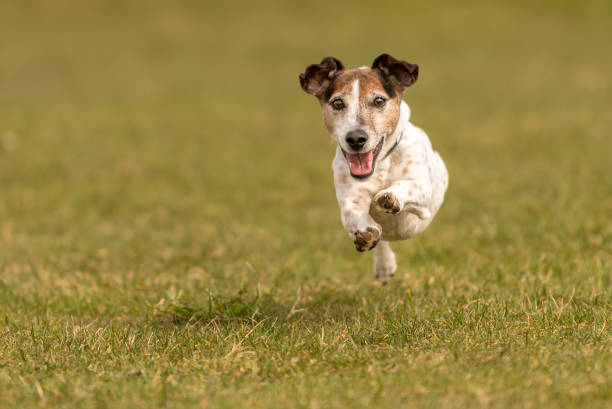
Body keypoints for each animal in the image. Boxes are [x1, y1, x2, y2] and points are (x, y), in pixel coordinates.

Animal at [298, 53, 448, 284]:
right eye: (338, 103)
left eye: (379, 101)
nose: (355, 138)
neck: (379, 166)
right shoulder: (351, 201)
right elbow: (357, 216)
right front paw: (366, 234)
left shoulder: (423, 192)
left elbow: (406, 185)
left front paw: (389, 196)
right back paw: (384, 264)